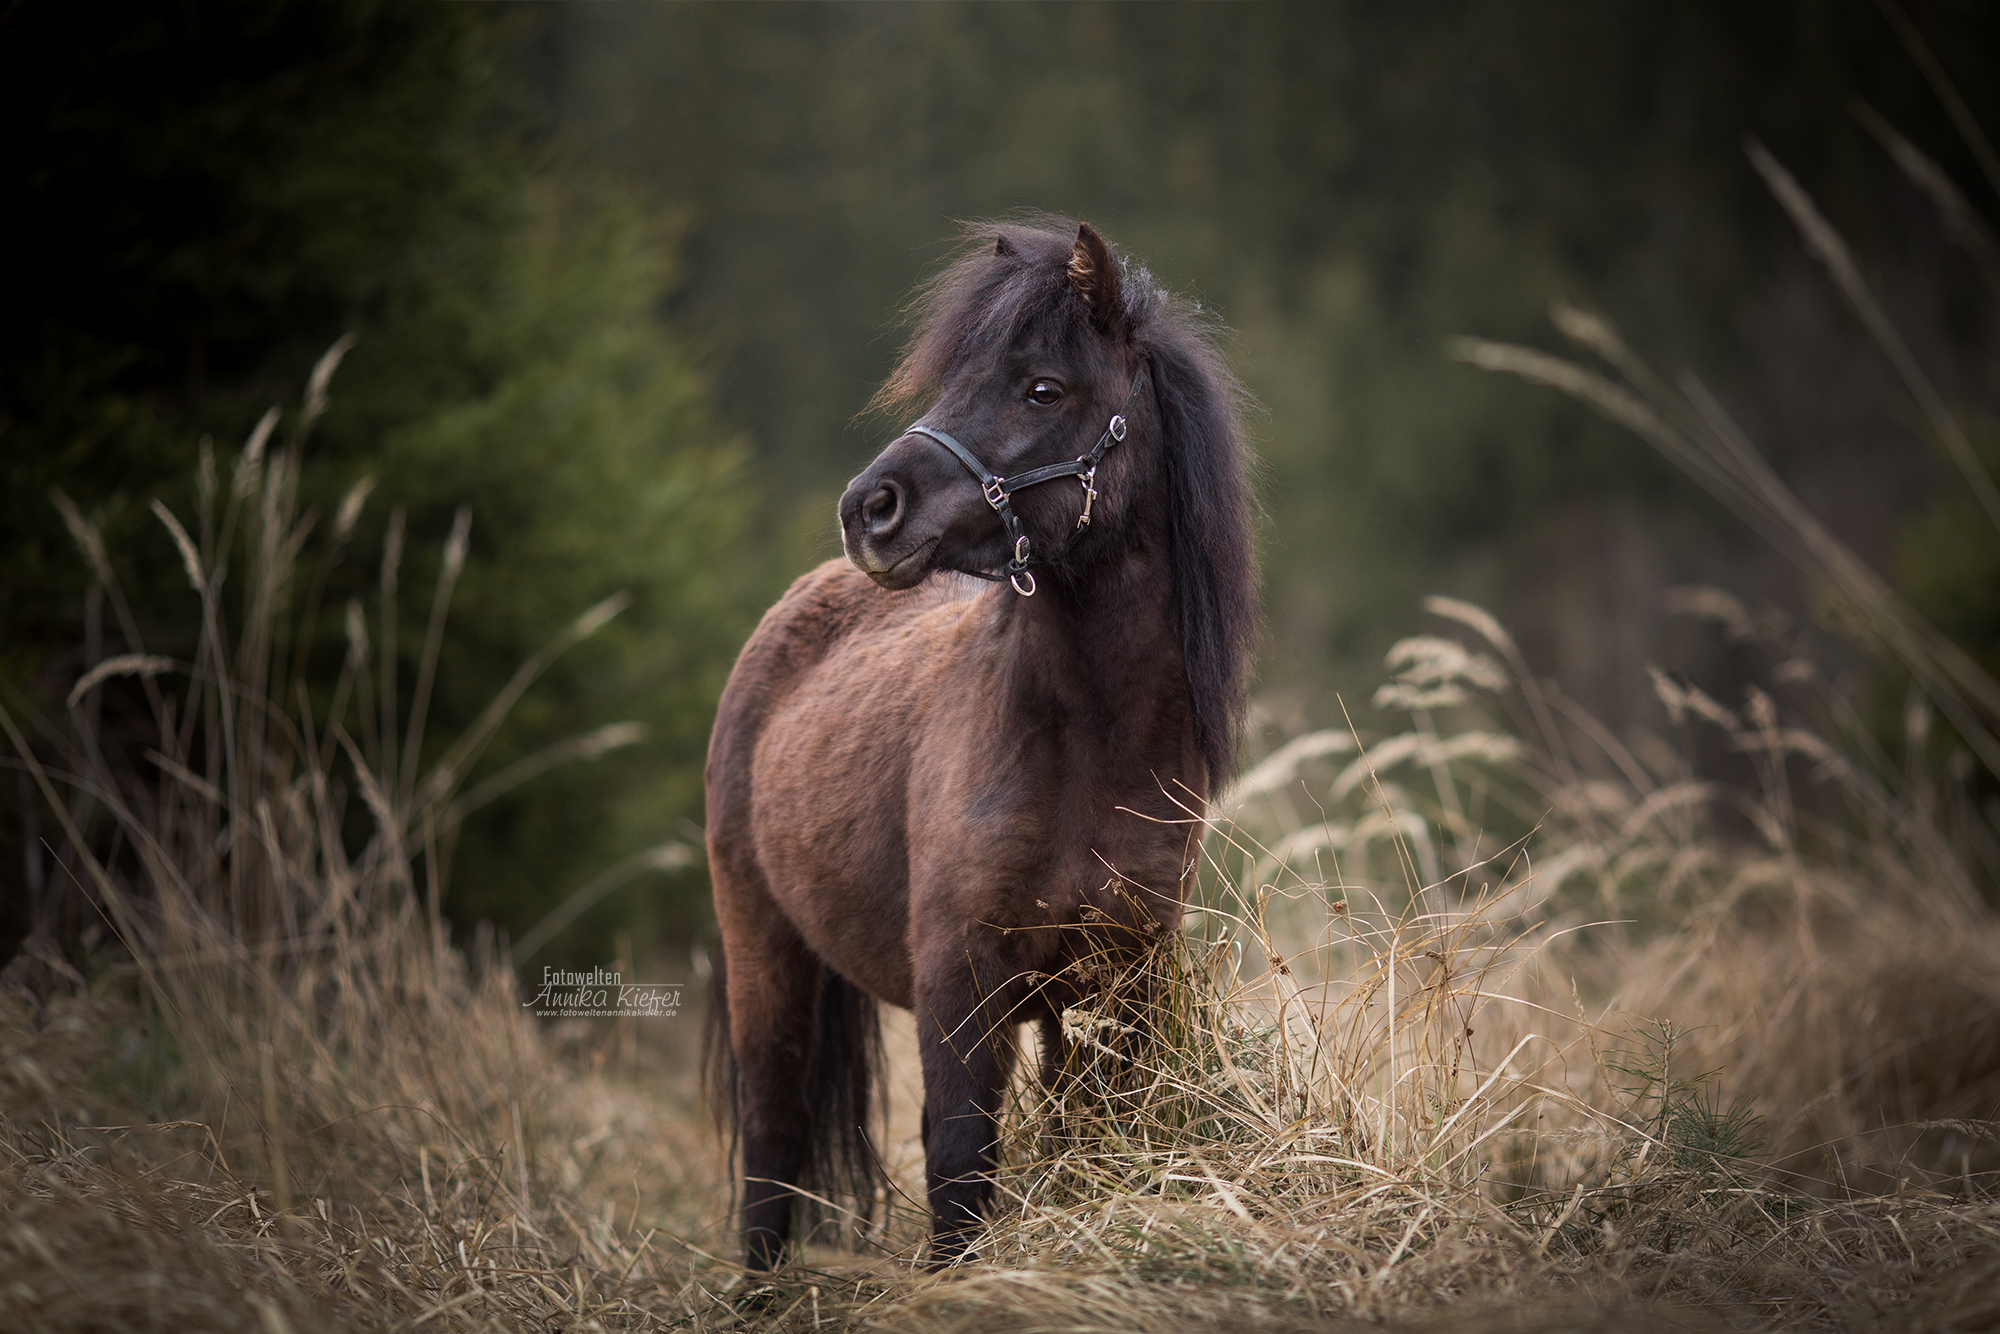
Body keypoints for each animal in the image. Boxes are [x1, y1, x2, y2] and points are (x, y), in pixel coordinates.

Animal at [712, 219, 1256, 1272]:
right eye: (954, 376)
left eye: (1042, 387)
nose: (868, 509)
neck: (1090, 754)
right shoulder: (959, 982)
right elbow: (959, 1163)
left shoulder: (1130, 978)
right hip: (763, 951)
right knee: (772, 1134)